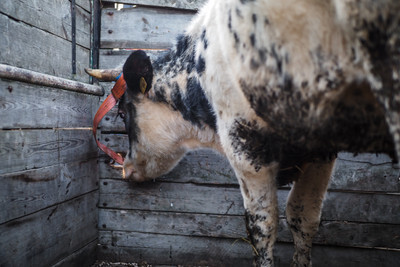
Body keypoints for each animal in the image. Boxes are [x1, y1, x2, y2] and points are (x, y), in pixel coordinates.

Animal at [87, 0, 400, 266]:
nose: (125, 168)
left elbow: (261, 225)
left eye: (123, 113)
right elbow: (303, 217)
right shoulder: (320, 151)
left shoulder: (245, 147)